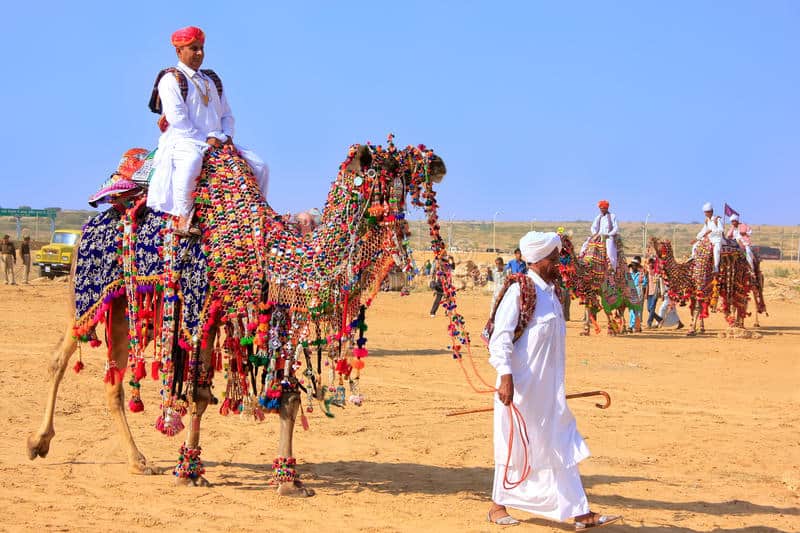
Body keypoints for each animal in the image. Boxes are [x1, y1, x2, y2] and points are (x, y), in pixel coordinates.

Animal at [28, 134, 446, 494]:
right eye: (391, 163)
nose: (438, 163)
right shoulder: (203, 312)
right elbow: (197, 393)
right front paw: (189, 472)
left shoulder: (278, 313)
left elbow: (287, 396)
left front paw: (289, 481)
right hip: (89, 294)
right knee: (60, 358)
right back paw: (38, 442)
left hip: (123, 309)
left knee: (112, 380)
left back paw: (137, 460)